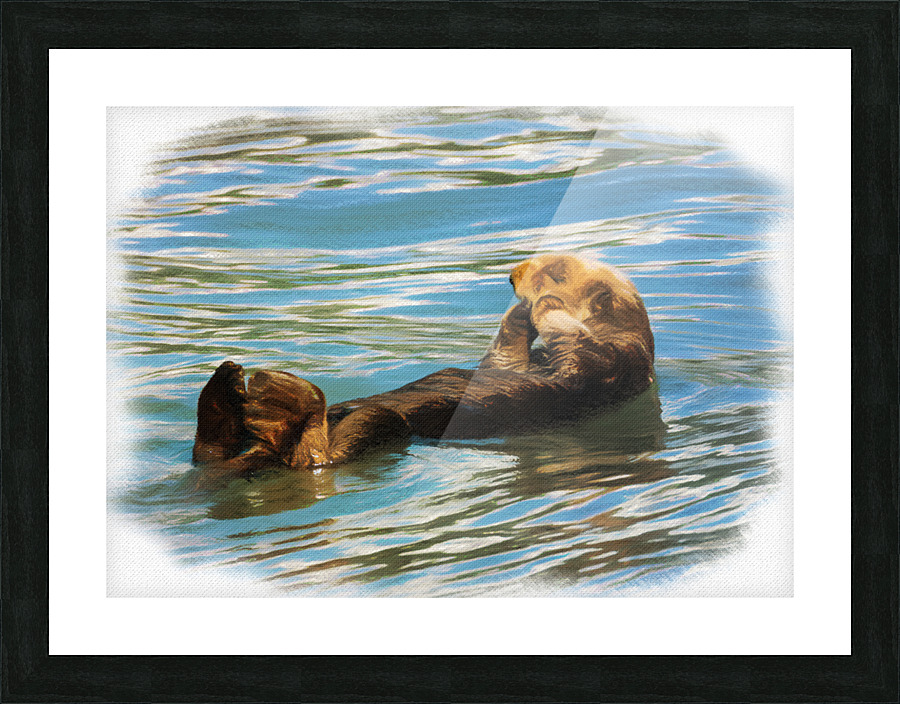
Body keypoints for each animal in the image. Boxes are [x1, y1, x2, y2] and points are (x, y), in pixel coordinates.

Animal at [192, 254, 656, 473]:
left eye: (557, 271)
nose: (514, 274)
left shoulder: (612, 360)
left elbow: (574, 348)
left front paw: (544, 304)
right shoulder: (516, 361)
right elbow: (504, 355)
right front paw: (519, 314)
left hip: (383, 427)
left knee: (316, 456)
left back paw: (282, 399)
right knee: (211, 452)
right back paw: (229, 388)